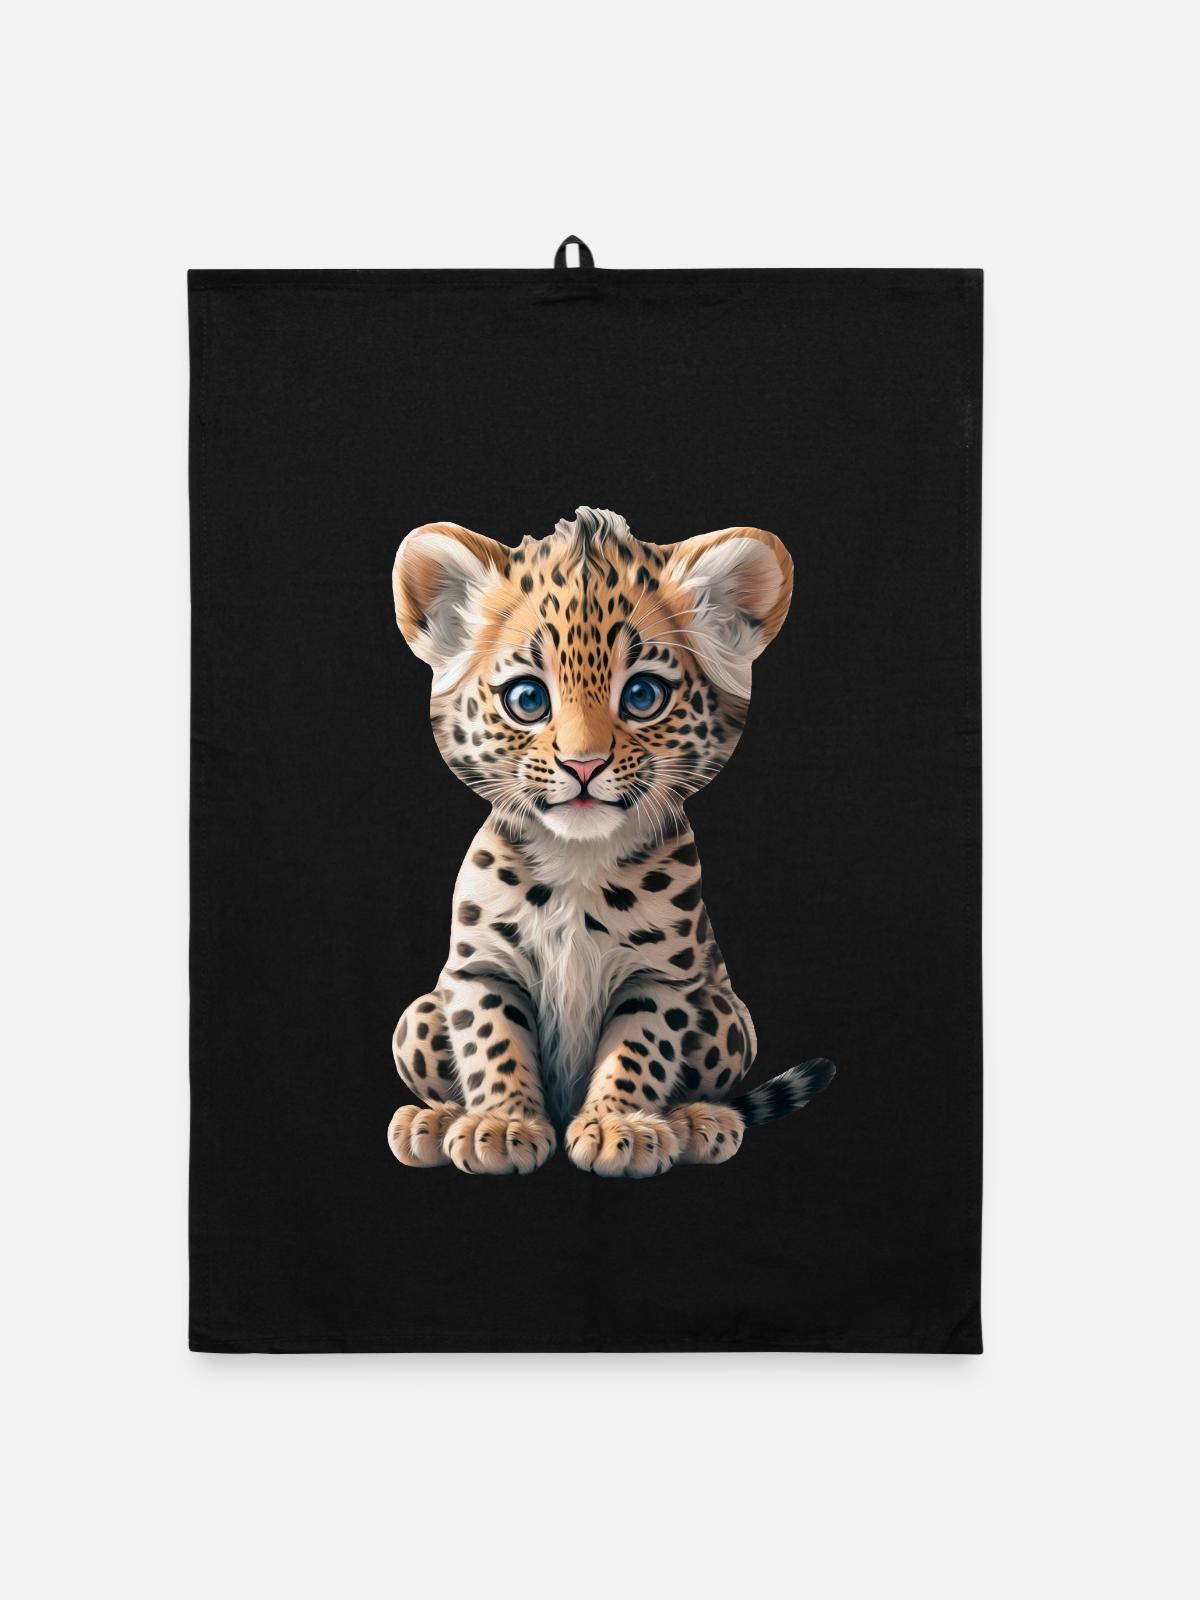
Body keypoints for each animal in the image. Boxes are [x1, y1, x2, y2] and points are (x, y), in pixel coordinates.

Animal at [387, 506, 835, 1178]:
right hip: (415, 1018)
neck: (577, 861)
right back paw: (432, 1120)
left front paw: (617, 1127)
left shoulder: (661, 975)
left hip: (727, 1016)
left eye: (643, 695)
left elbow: (640, 1045)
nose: (583, 765)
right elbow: (493, 1038)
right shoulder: (482, 967)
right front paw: (501, 1125)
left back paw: (700, 1122)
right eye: (527, 699)